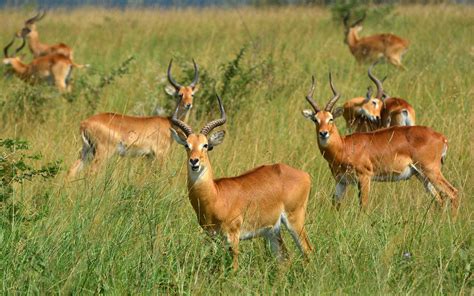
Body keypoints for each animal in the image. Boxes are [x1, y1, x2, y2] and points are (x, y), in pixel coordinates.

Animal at [66, 58, 198, 178]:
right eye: (179, 94)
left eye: (192, 94)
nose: (188, 105)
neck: (169, 123)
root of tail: (84, 123)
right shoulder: (160, 155)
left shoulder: (149, 156)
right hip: (102, 153)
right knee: (91, 172)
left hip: (86, 151)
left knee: (71, 170)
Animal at [169, 95, 312, 270]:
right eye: (187, 145)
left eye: (206, 145)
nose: (194, 161)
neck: (215, 196)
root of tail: (305, 175)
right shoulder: (213, 237)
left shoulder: (233, 236)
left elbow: (234, 266)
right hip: (272, 231)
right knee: (284, 257)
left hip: (295, 220)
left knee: (307, 250)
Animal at [302, 73, 458, 215]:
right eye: (315, 119)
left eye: (331, 118)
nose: (323, 133)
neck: (344, 146)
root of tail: (442, 137)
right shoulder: (341, 182)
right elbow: (335, 206)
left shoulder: (365, 178)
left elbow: (363, 208)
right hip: (422, 175)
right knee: (439, 199)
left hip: (431, 171)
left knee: (453, 193)